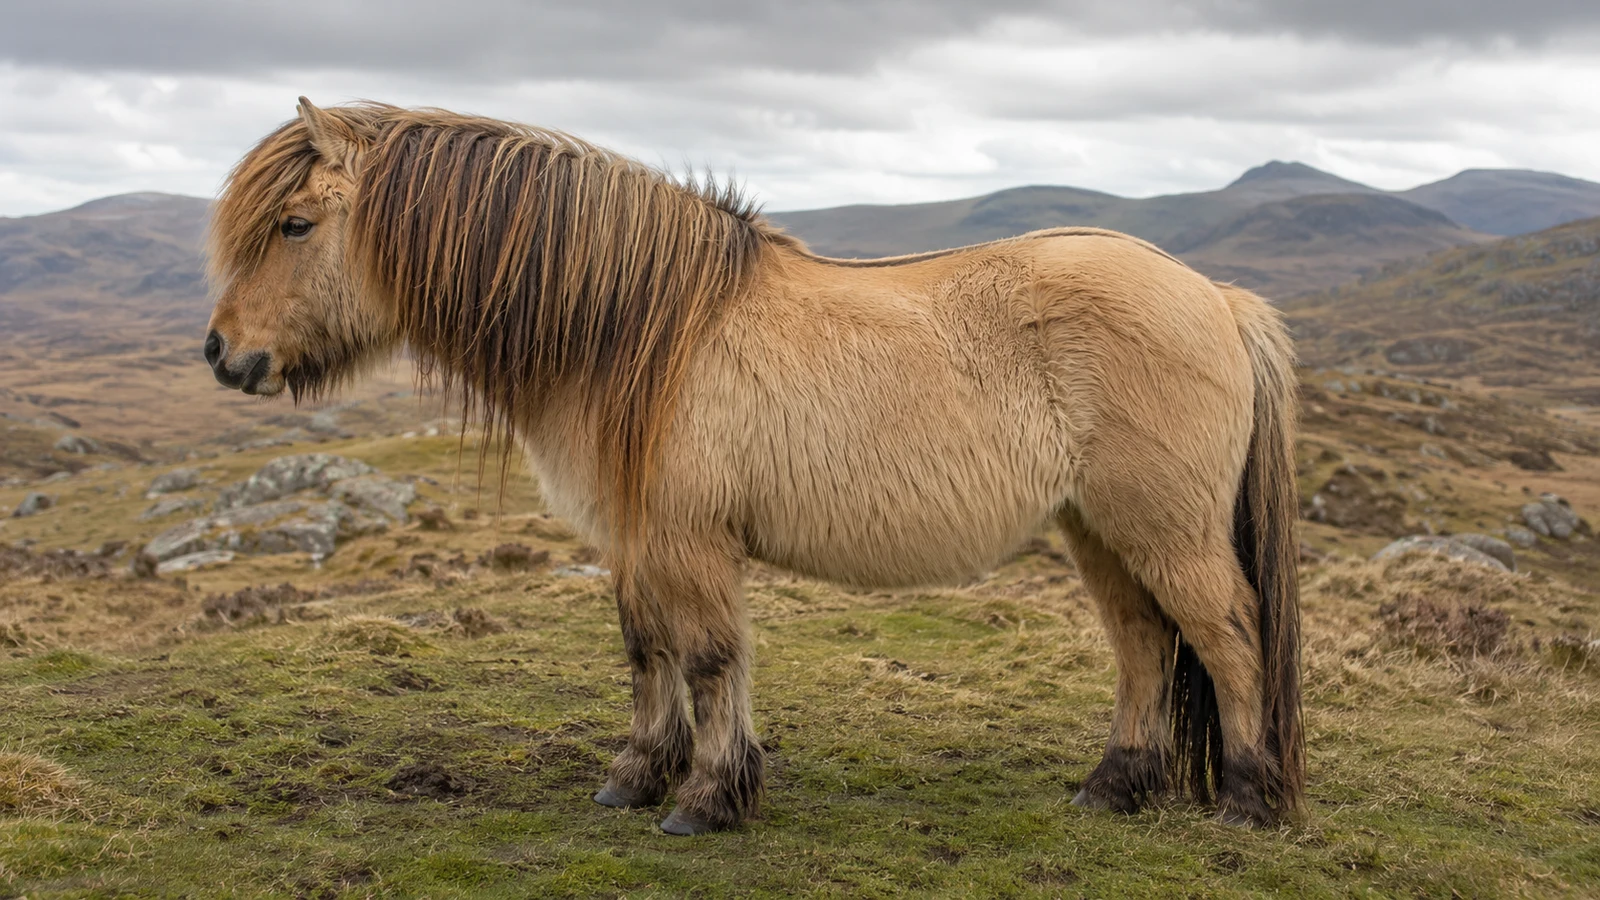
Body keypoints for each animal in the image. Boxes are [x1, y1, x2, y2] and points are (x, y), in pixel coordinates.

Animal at [203, 98, 1305, 835]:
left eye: (295, 224)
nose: (222, 355)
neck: (633, 330)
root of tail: (1216, 297)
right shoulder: (634, 538)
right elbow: (644, 651)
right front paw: (636, 774)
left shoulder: (691, 539)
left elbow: (709, 657)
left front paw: (705, 797)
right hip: (1098, 528)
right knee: (1144, 646)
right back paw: (1113, 787)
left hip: (1163, 526)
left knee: (1227, 635)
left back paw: (1249, 802)